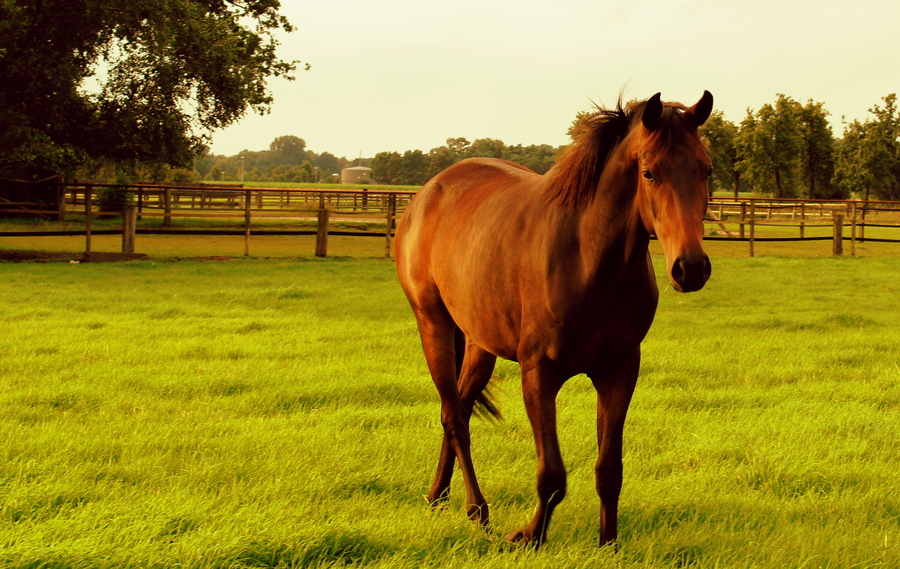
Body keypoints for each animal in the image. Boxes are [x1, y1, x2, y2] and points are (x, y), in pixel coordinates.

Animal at [392, 90, 712, 544]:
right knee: (453, 416)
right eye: (649, 172)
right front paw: (529, 537)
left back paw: (439, 496)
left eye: (707, 169)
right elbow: (552, 475)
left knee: (459, 408)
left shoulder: (619, 371)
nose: (691, 267)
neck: (587, 259)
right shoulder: (538, 374)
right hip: (432, 323)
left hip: (479, 344)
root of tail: (426, 194)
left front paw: (608, 544)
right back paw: (477, 510)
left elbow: (609, 470)